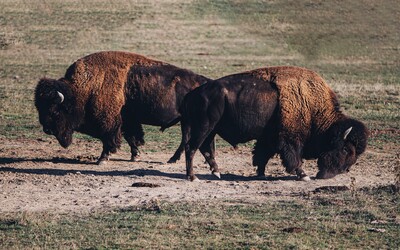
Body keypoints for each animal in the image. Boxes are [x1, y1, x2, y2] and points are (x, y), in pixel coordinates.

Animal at [34, 50, 209, 164]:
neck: (83, 88)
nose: (47, 130)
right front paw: (135, 156)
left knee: (186, 139)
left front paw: (102, 159)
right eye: (39, 108)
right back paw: (173, 159)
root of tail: (204, 82)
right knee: (186, 139)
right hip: (186, 121)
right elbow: (131, 137)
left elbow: (109, 139)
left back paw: (173, 159)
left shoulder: (109, 121)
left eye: (55, 111)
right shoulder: (127, 120)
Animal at [179, 65, 368, 181]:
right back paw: (193, 177)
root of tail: (192, 93)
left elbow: (262, 155)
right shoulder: (290, 139)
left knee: (205, 149)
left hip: (211, 130)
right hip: (204, 127)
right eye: (345, 149)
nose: (341, 171)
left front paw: (261, 173)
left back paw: (217, 173)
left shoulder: (269, 138)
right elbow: (293, 157)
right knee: (192, 148)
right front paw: (303, 175)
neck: (312, 106)